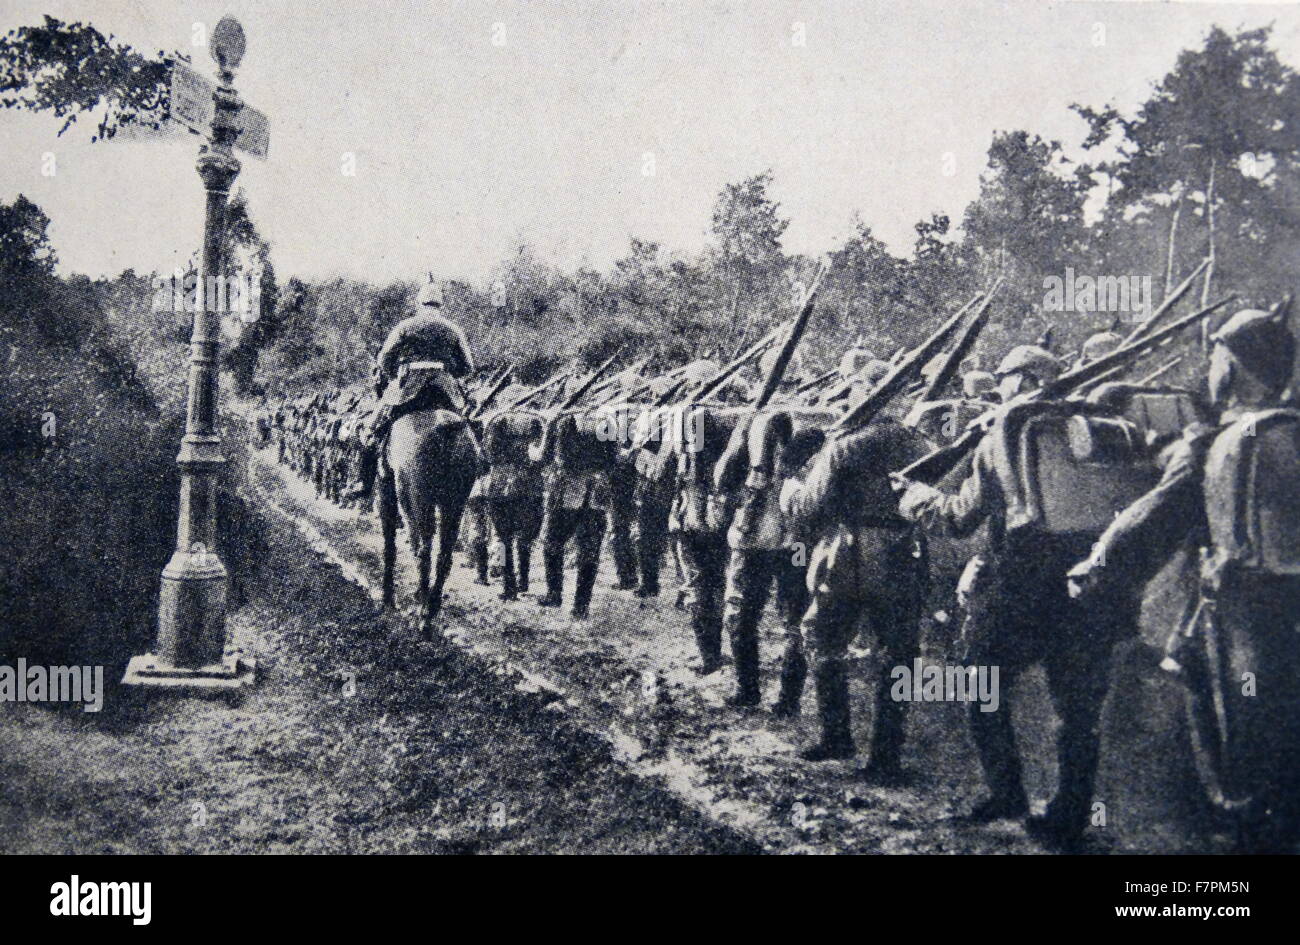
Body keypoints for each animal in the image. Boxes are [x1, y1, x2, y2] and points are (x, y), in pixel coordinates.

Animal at [377, 408, 483, 639]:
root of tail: (447, 428)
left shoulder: (386, 486)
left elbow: (390, 545)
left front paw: (387, 597)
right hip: (454, 503)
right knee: (444, 555)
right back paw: (431, 606)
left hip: (418, 499)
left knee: (423, 551)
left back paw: (423, 615)